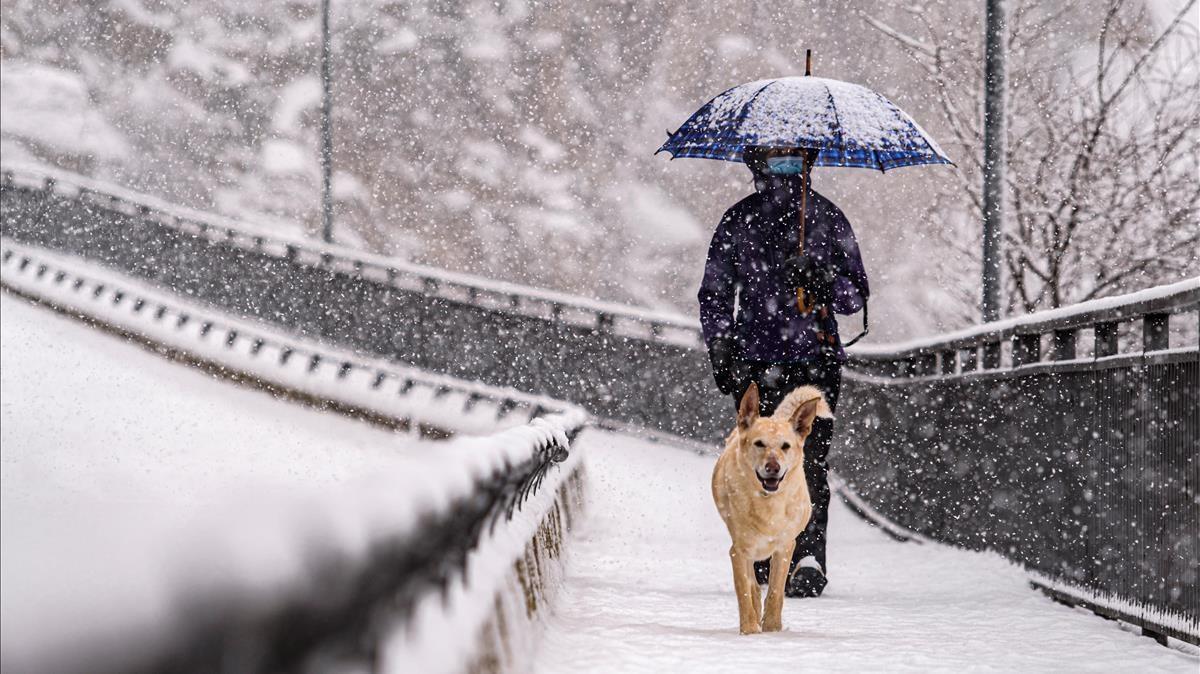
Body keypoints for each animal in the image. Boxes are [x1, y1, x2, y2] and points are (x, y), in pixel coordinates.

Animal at [710, 381, 835, 633]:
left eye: (785, 446)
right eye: (759, 443)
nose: (773, 467)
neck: (767, 501)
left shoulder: (785, 547)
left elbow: (776, 591)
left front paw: (772, 629)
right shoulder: (739, 551)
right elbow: (744, 591)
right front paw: (749, 630)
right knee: (753, 585)